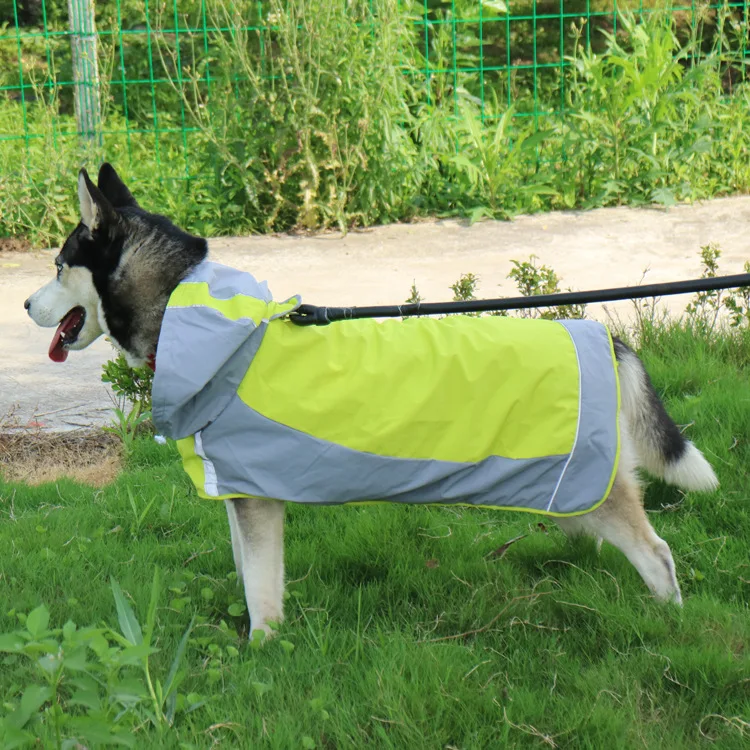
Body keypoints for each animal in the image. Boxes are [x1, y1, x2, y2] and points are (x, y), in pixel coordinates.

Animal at [26, 163, 724, 636]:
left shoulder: (256, 502)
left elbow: (262, 592)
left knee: (658, 554)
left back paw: (669, 622)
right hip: (576, 487)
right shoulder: (241, 494)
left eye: (58, 266)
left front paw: (262, 650)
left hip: (595, 487)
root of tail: (604, 336)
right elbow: (252, 579)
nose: (27, 305)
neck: (199, 318)